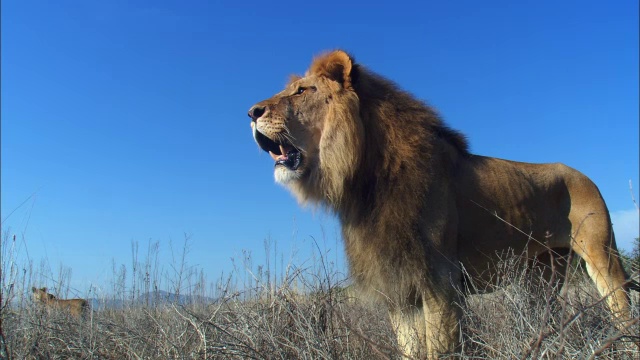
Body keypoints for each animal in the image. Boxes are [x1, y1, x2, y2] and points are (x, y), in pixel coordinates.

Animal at [248, 50, 636, 358]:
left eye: (302, 91)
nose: (251, 112)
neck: (365, 181)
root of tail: (584, 175)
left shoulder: (439, 281)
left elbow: (439, 348)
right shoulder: (400, 288)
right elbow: (410, 350)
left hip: (603, 257)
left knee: (623, 310)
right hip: (541, 276)